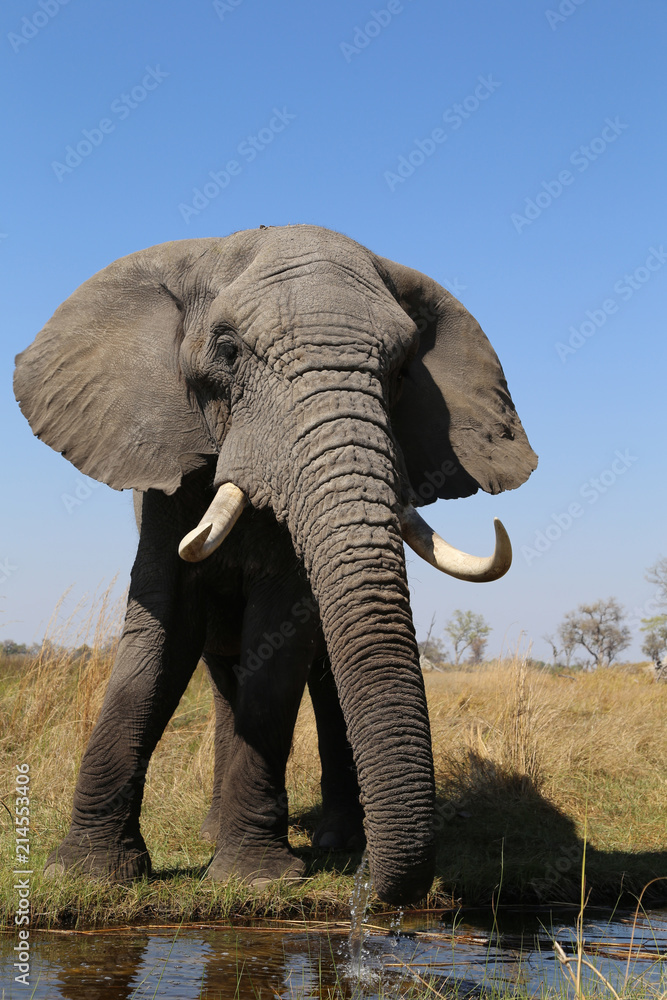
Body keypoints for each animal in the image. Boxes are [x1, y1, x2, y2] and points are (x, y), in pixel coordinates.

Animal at [13, 225, 537, 904]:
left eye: (401, 372)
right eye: (228, 350)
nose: (367, 892)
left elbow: (280, 635)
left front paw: (255, 879)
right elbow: (163, 632)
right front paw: (88, 874)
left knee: (322, 681)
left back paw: (339, 842)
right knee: (222, 673)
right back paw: (229, 836)